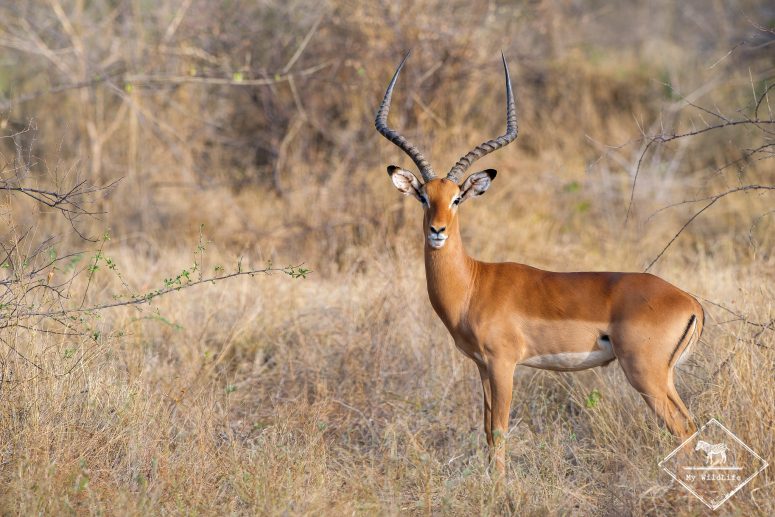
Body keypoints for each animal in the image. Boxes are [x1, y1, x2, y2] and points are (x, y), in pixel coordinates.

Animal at [375, 52, 705, 474]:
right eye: (423, 196)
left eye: (457, 199)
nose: (437, 230)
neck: (472, 284)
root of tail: (689, 301)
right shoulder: (482, 366)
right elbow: (486, 430)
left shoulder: (503, 363)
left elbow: (499, 431)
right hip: (662, 377)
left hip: (646, 374)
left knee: (683, 428)